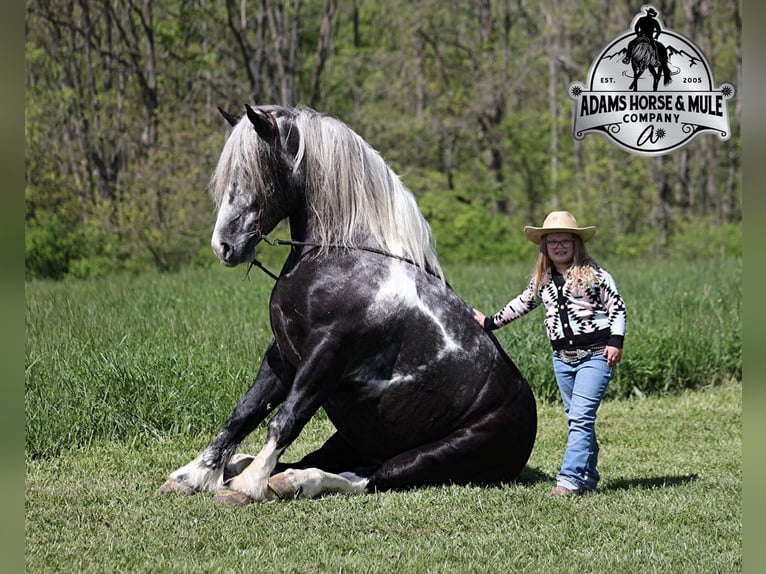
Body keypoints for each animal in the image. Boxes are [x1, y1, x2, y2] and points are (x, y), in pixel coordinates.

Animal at [158, 106, 536, 506]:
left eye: (256, 172)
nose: (224, 246)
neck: (343, 259)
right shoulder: (283, 354)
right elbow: (244, 412)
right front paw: (193, 476)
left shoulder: (327, 354)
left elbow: (287, 418)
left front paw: (247, 486)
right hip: (350, 437)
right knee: (327, 461)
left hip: (433, 455)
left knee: (369, 477)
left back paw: (287, 482)